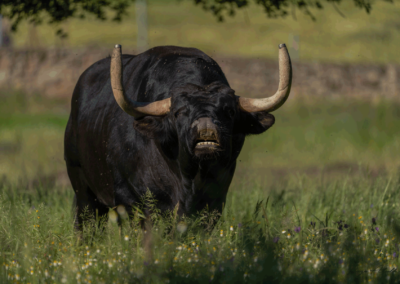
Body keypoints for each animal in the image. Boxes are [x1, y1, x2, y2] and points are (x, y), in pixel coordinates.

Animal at [64, 45, 292, 229]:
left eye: (229, 111)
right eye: (179, 112)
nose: (206, 129)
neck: (189, 180)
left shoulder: (215, 201)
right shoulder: (130, 200)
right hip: (82, 190)